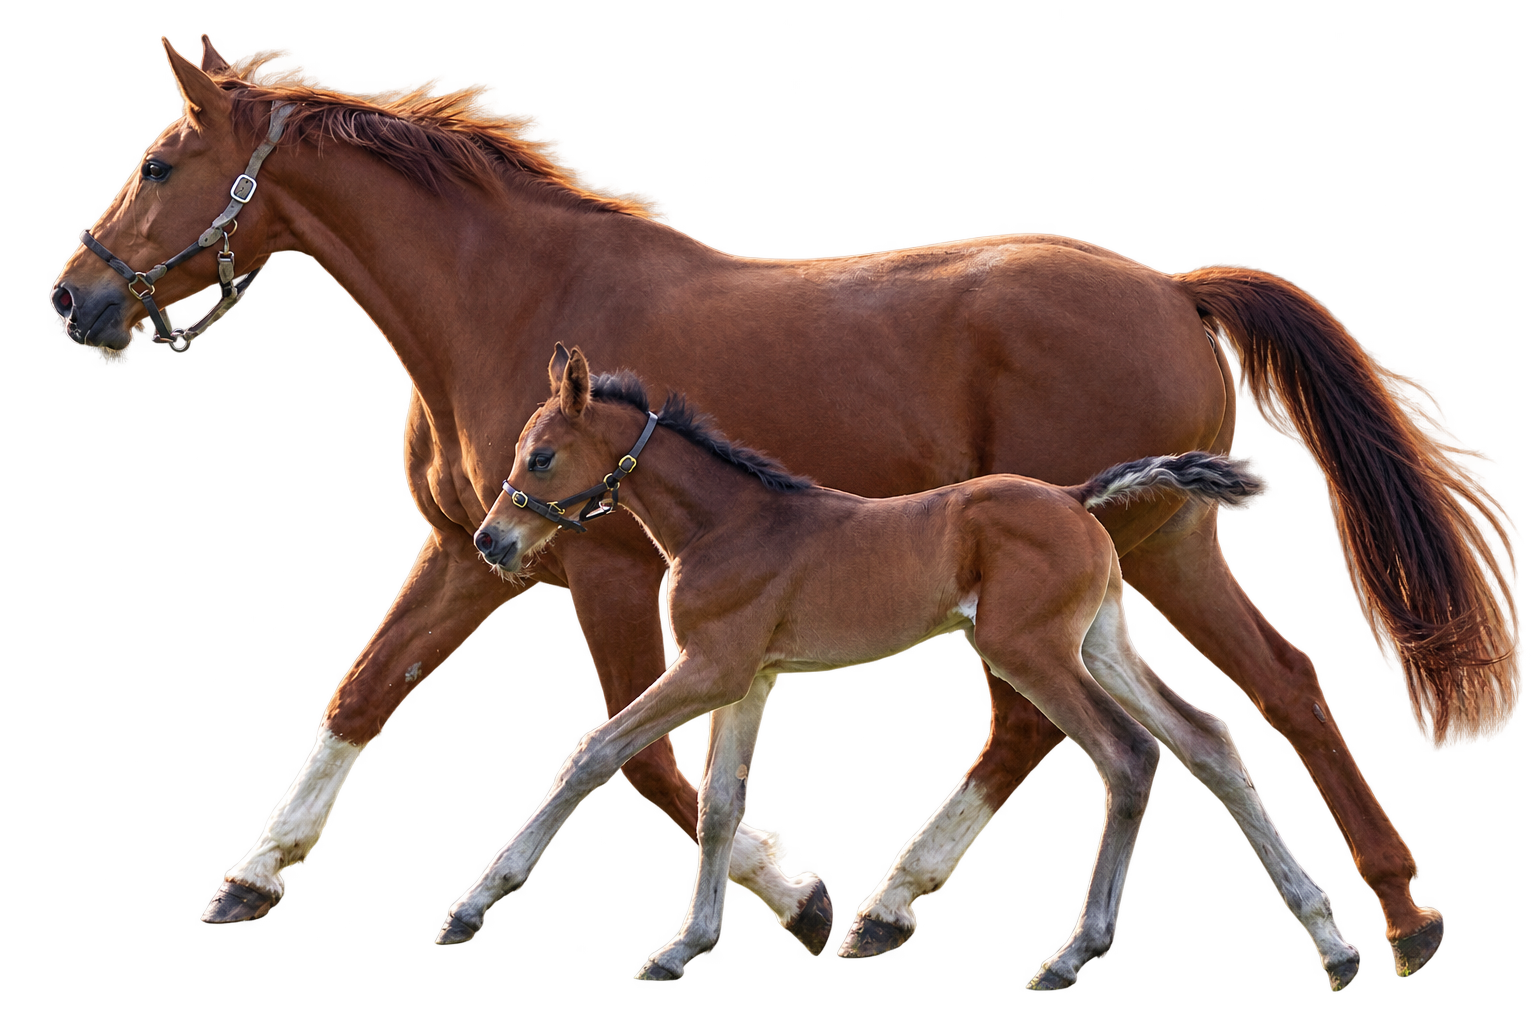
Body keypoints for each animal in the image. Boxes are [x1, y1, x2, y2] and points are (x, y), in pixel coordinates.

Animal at [443, 344, 1363, 988]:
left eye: (541, 457)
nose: (491, 540)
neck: (726, 523)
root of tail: (1075, 498)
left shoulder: (710, 669)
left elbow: (592, 756)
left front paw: (474, 904)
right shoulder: (749, 677)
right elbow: (718, 807)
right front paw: (685, 945)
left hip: (1028, 649)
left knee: (1128, 752)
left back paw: (1071, 951)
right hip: (1100, 641)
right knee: (1206, 737)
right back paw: (1333, 943)